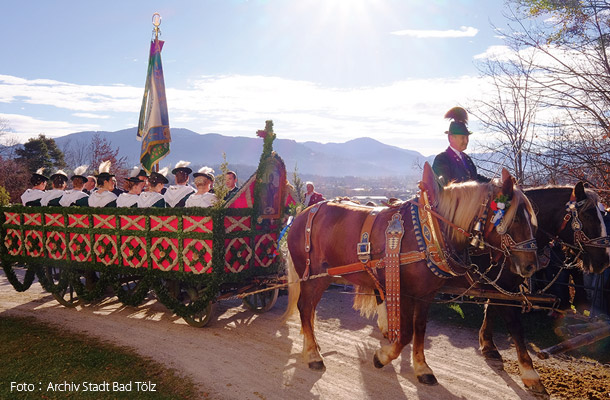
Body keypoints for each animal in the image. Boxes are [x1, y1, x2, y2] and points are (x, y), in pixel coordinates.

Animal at [282, 162, 536, 384]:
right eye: (514, 219)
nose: (531, 264)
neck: (430, 229)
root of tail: (304, 213)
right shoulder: (403, 292)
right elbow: (404, 334)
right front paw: (382, 357)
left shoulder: (425, 295)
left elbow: (419, 330)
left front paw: (422, 368)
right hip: (313, 276)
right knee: (305, 307)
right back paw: (313, 354)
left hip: (321, 277)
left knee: (309, 309)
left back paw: (311, 346)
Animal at [442, 184, 608, 394]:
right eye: (587, 214)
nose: (604, 260)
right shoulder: (501, 288)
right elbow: (515, 326)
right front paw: (530, 374)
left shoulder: (501, 286)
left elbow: (491, 310)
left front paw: (488, 346)